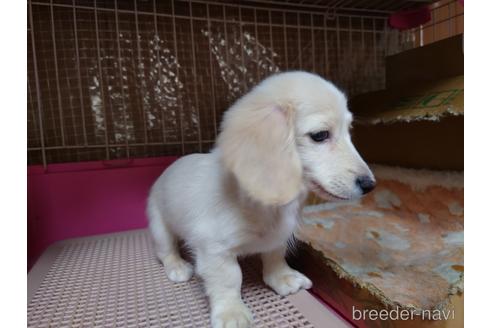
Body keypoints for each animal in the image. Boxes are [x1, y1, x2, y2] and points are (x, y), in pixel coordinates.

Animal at [148, 72, 374, 328]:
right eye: (320, 135)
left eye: (349, 131)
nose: (370, 185)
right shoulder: (214, 249)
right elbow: (229, 279)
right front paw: (231, 311)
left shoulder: (278, 238)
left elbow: (275, 256)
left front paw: (282, 278)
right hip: (159, 226)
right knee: (165, 250)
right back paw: (177, 265)